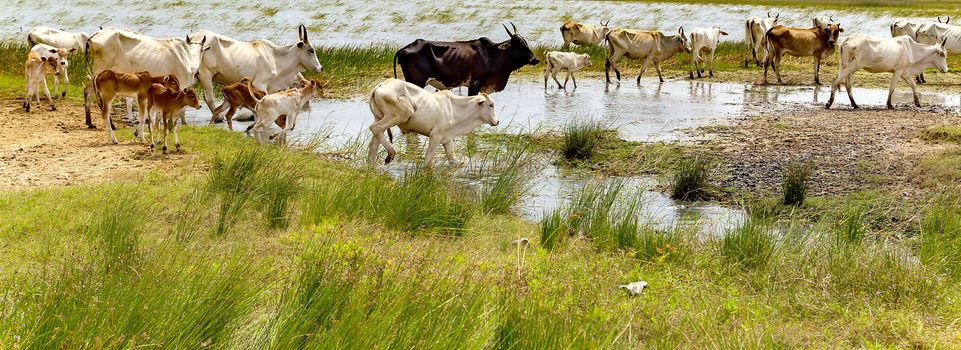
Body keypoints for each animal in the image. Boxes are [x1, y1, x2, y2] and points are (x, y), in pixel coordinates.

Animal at [189, 24, 324, 120]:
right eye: (311, 50)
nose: (321, 68)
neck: (275, 57)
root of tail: (193, 37)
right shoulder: (260, 84)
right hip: (206, 75)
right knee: (208, 97)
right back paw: (218, 117)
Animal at [368, 78, 498, 166]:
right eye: (491, 105)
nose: (497, 122)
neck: (455, 109)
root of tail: (380, 85)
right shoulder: (435, 136)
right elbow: (427, 160)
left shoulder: (447, 139)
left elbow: (453, 159)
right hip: (402, 114)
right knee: (375, 128)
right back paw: (390, 155)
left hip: (380, 117)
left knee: (374, 143)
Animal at [392, 22, 540, 95]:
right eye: (519, 45)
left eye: (526, 43)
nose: (535, 59)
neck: (492, 55)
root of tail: (405, 48)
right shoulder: (475, 83)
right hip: (416, 82)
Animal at [820, 35, 948, 109]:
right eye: (942, 54)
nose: (946, 70)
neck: (912, 50)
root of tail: (848, 39)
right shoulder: (898, 71)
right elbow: (892, 87)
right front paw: (890, 104)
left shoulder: (904, 73)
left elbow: (914, 85)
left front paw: (917, 103)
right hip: (851, 66)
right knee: (836, 80)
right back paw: (829, 103)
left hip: (847, 67)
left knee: (847, 84)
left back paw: (855, 105)